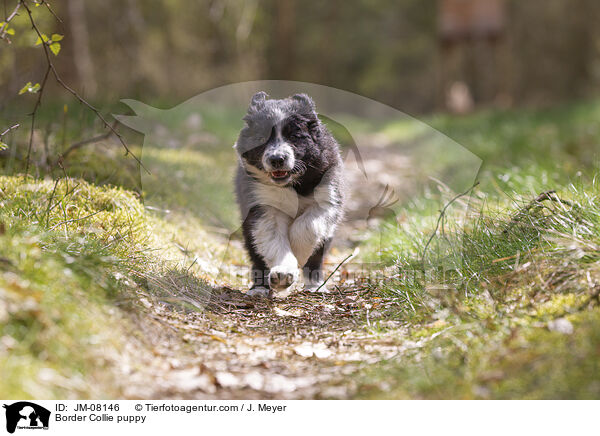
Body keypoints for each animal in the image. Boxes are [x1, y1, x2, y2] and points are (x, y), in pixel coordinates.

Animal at [236, 91, 346, 296]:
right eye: (261, 137)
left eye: (294, 136)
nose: (277, 159)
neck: (293, 184)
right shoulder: (263, 206)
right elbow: (273, 237)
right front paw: (283, 273)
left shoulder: (327, 197)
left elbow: (307, 226)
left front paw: (298, 253)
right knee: (256, 255)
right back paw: (259, 288)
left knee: (317, 257)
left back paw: (315, 285)